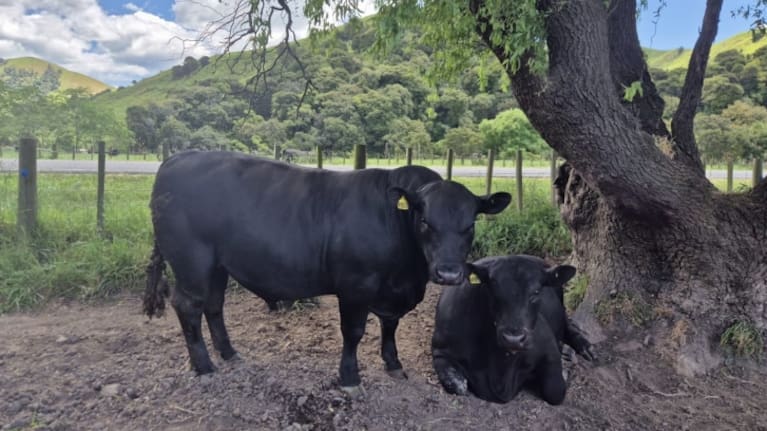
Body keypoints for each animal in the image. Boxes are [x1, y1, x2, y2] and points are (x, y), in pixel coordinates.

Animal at [143, 150, 511, 391]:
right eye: (425, 221)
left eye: (470, 224)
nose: (448, 274)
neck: (409, 272)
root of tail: (177, 157)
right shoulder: (356, 286)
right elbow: (354, 332)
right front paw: (350, 378)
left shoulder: (392, 292)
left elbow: (390, 326)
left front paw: (393, 364)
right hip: (192, 262)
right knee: (189, 307)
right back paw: (204, 367)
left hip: (218, 264)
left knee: (214, 305)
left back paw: (230, 355)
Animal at [431, 255, 594, 404]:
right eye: (493, 290)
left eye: (536, 292)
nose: (513, 339)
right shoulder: (440, 349)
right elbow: (456, 385)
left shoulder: (549, 348)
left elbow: (554, 391)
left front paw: (565, 369)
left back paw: (584, 348)